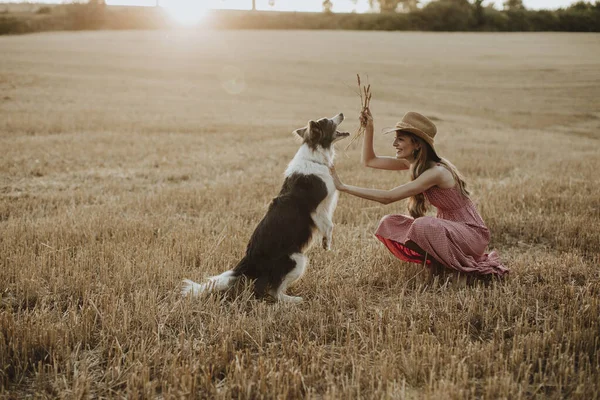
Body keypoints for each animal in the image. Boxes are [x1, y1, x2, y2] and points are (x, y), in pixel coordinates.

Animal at [184, 112, 352, 304]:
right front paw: (326, 243)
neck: (314, 157)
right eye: (327, 121)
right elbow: (330, 225)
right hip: (297, 260)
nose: (341, 114)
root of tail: (248, 262)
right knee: (274, 291)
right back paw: (292, 300)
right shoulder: (318, 208)